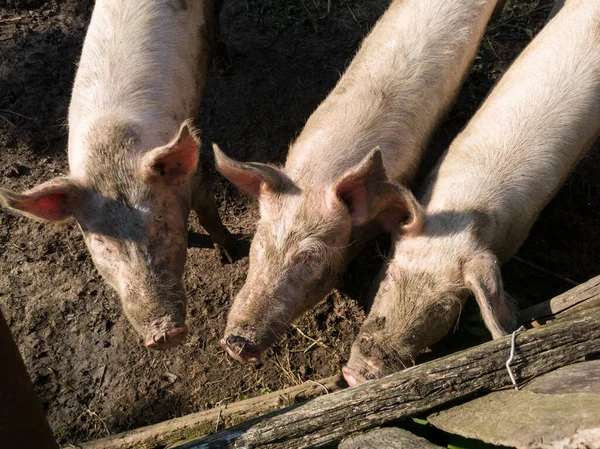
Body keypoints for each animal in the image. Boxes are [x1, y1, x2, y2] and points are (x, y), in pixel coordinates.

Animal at [0, 0, 238, 350]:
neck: (110, 153)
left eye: (159, 221)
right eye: (101, 241)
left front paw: (231, 255)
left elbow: (209, 214)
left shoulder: (194, 178)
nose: (164, 334)